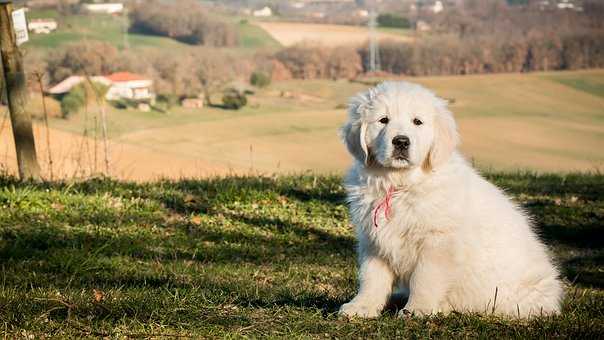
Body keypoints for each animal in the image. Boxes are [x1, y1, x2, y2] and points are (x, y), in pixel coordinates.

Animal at [338, 81, 564, 318]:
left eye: (417, 121)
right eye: (383, 120)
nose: (401, 141)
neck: (401, 185)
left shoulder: (438, 241)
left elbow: (424, 278)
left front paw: (417, 309)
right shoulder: (373, 241)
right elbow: (371, 278)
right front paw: (361, 306)